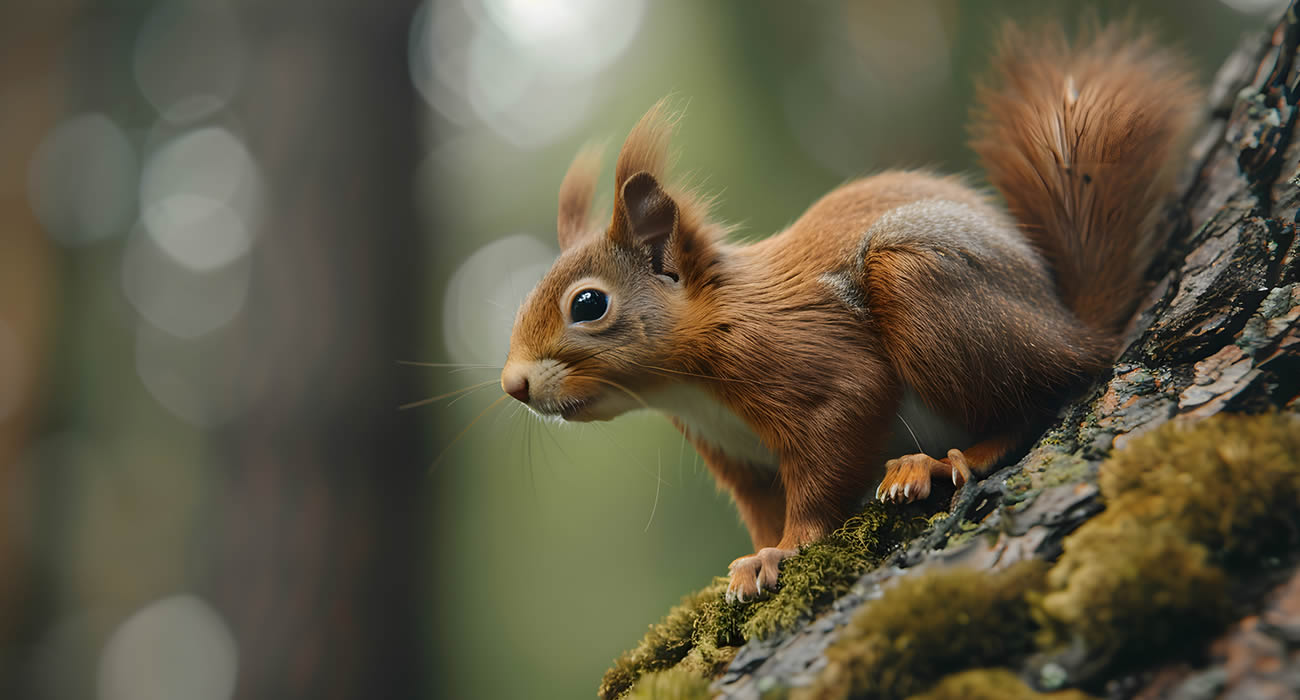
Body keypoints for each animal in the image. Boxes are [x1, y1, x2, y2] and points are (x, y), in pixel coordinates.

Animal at [493, 23, 1196, 598]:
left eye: (588, 303)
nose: (513, 385)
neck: (690, 383)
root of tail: (1072, 326)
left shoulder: (803, 363)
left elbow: (834, 443)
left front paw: (782, 551)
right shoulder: (737, 456)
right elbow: (763, 507)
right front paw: (752, 557)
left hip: (927, 290)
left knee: (1034, 400)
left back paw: (938, 461)